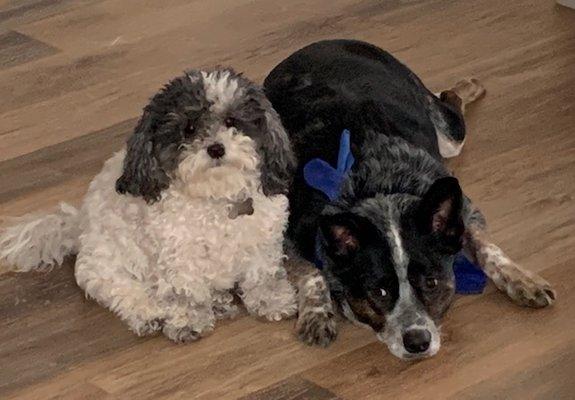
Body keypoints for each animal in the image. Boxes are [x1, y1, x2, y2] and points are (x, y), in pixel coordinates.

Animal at [266, 39, 560, 360]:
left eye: (431, 283)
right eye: (379, 293)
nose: (418, 341)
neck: (377, 186)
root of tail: (321, 43)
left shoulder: (465, 210)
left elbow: (488, 249)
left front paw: (521, 280)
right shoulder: (286, 232)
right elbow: (311, 273)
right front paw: (317, 313)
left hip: (449, 136)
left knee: (449, 102)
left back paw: (467, 86)